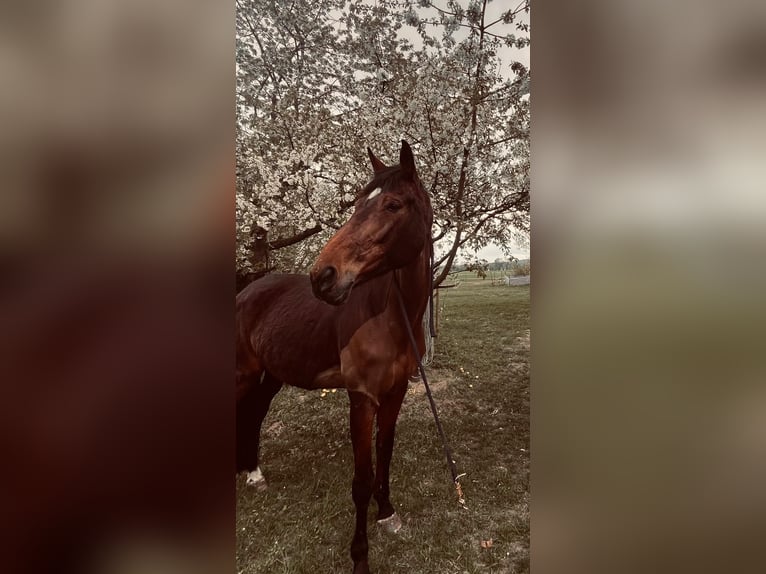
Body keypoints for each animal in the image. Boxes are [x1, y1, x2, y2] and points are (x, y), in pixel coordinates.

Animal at [236, 140, 432, 574]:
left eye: (393, 204)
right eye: (357, 203)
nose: (323, 277)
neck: (392, 315)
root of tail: (245, 291)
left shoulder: (395, 393)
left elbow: (385, 454)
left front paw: (387, 514)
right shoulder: (361, 398)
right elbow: (361, 479)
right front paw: (360, 557)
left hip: (272, 374)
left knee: (253, 413)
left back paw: (253, 474)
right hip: (243, 372)